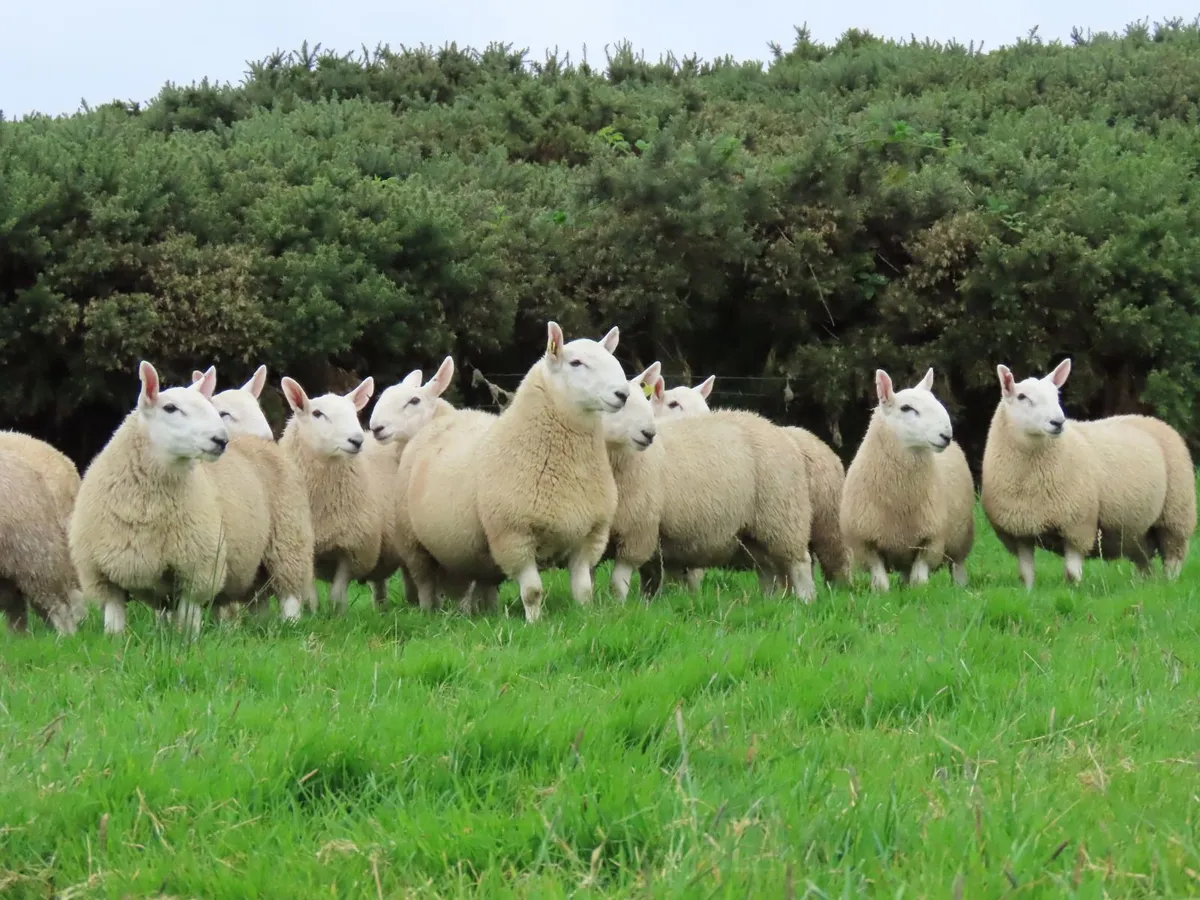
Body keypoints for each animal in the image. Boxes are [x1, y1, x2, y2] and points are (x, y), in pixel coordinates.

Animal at [279, 375, 383, 615]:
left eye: (354, 412)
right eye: (317, 413)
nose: (357, 440)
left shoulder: (352, 547)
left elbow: (338, 591)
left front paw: (338, 615)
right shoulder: (306, 547)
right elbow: (310, 594)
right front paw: (314, 614)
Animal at [471, 322, 628, 622]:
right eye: (575, 362)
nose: (623, 394)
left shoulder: (588, 535)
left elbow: (584, 590)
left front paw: (585, 617)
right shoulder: (513, 535)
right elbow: (532, 591)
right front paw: (534, 623)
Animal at [638, 407, 818, 601]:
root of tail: (784, 434)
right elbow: (649, 576)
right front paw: (646, 601)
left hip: (783, 518)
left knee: (800, 563)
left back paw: (805, 600)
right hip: (755, 533)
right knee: (767, 568)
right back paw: (767, 601)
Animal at [839, 368, 975, 592]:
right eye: (906, 408)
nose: (946, 435)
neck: (900, 497)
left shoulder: (931, 540)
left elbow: (919, 580)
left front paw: (920, 593)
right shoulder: (865, 544)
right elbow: (881, 583)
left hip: (959, 539)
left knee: (958, 565)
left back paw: (959, 587)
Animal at [980, 358, 1194, 587]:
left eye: (1057, 395)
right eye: (1022, 397)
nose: (1058, 422)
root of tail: (1150, 419)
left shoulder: (1077, 525)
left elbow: (1072, 572)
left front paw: (1073, 590)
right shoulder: (1020, 531)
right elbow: (1026, 574)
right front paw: (1029, 592)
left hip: (1176, 516)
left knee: (1173, 560)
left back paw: (1169, 584)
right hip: (1136, 531)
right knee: (1144, 563)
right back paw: (1143, 587)